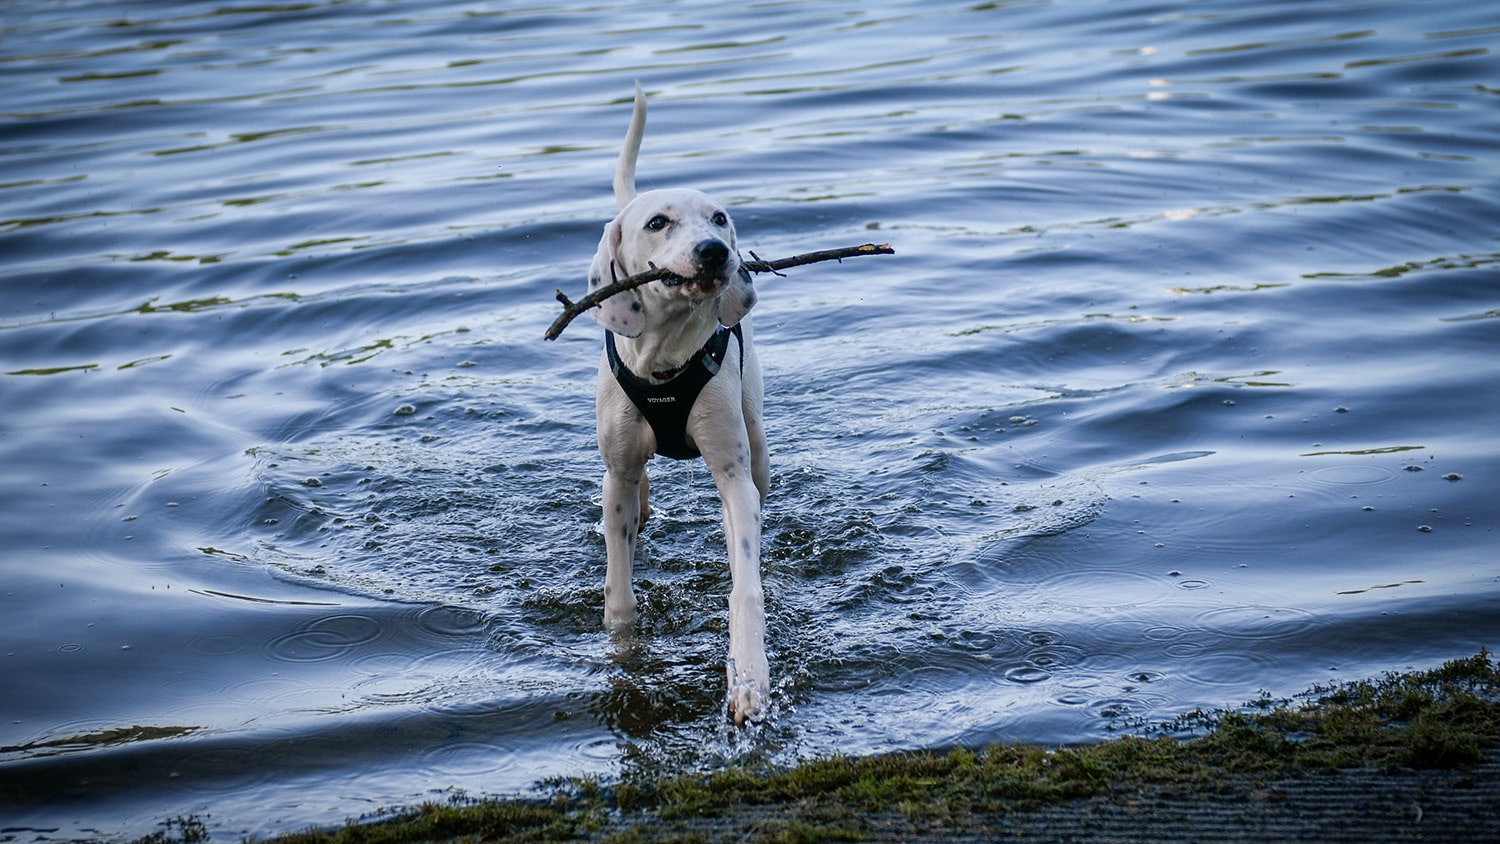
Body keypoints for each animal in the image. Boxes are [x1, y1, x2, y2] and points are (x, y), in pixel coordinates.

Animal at [585, 82, 774, 722]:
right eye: (658, 222)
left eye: (719, 217)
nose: (716, 251)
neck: (664, 360)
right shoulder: (617, 470)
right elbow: (619, 586)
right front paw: (623, 646)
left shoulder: (734, 476)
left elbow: (745, 582)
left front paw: (749, 678)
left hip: (756, 442)